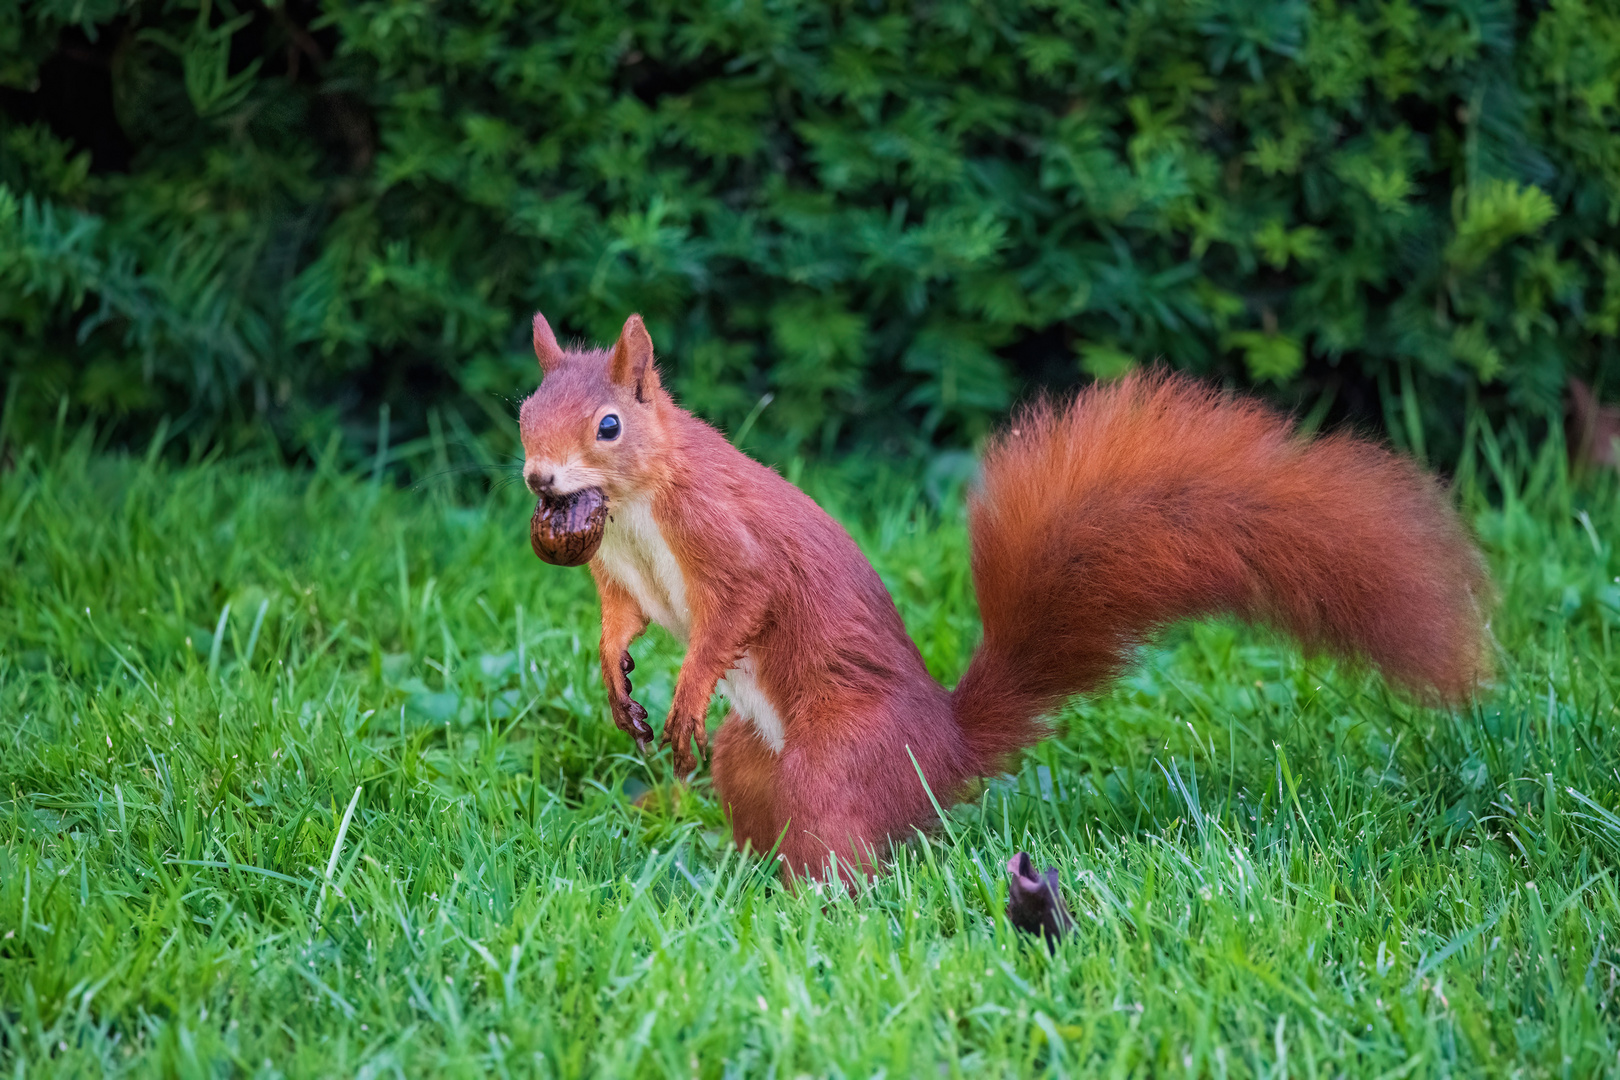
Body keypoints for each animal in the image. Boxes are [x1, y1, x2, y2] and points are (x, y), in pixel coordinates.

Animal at [518, 310, 1490, 880]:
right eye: (524, 409)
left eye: (609, 424)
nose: (538, 479)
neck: (637, 506)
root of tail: (944, 753)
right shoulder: (620, 572)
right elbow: (623, 620)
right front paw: (615, 678)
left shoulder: (726, 541)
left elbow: (736, 611)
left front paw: (685, 688)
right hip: (750, 759)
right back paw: (731, 870)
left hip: (837, 761)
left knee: (844, 849)